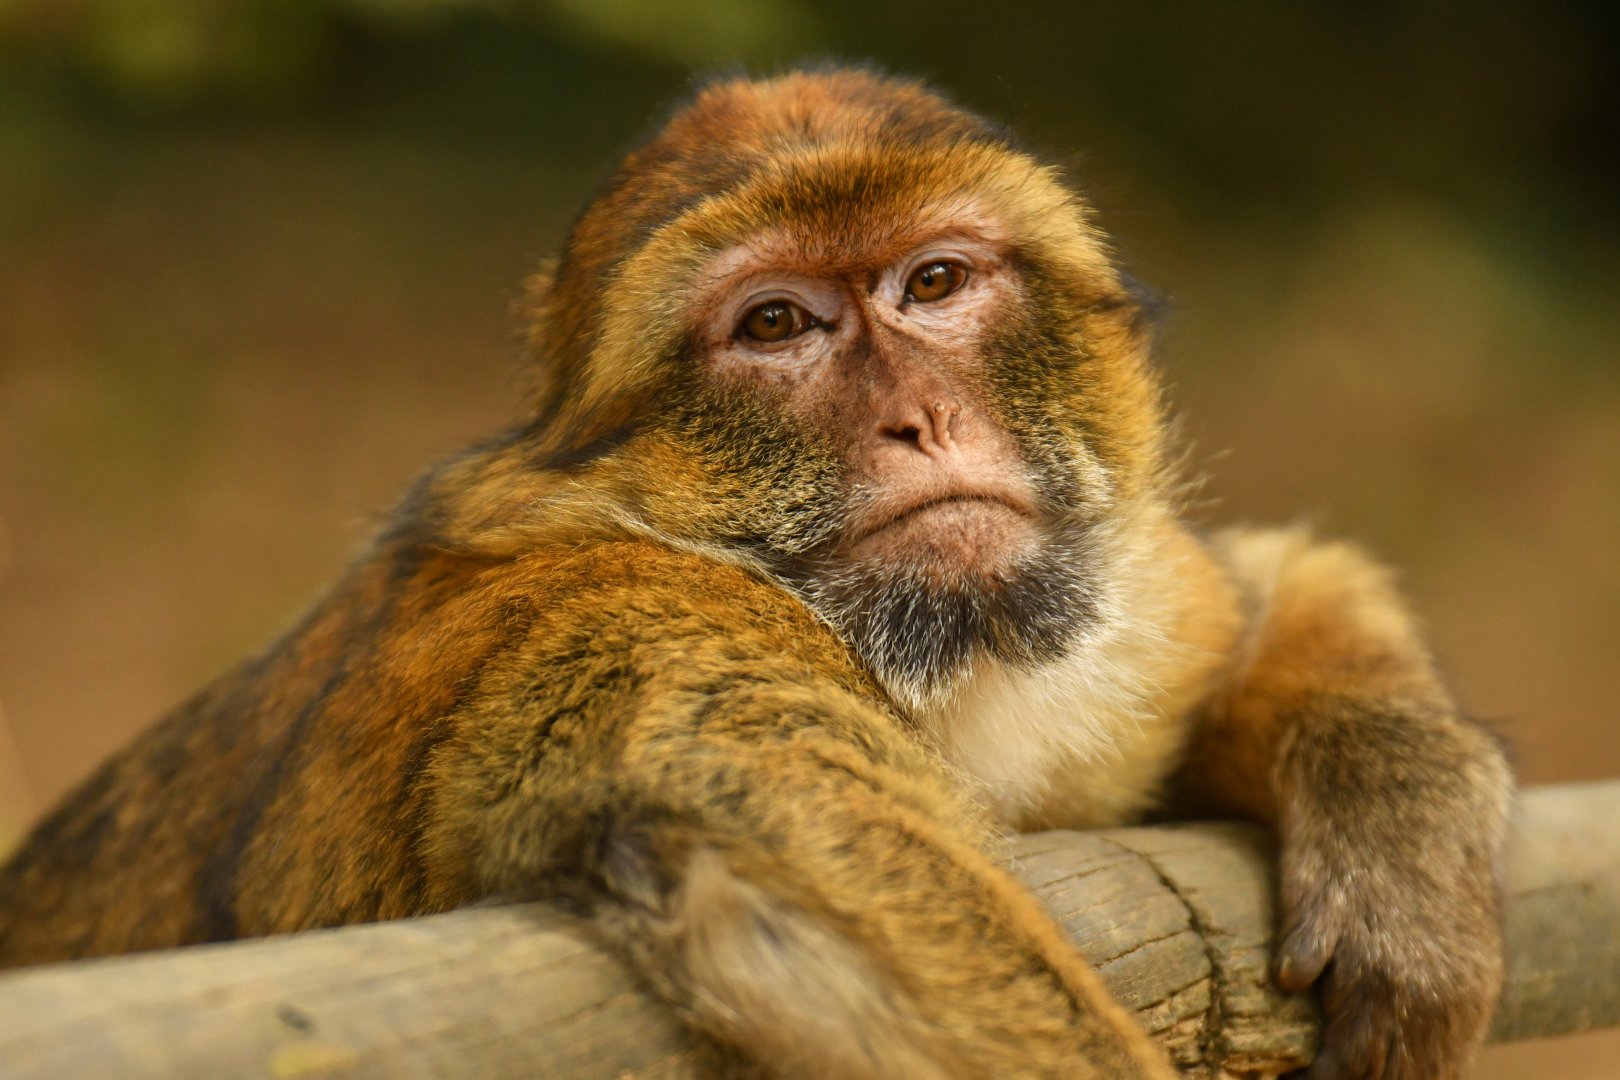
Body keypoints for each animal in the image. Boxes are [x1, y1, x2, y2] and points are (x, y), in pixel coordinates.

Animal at [0, 68, 1510, 1080]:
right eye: (776, 324)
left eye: (933, 284)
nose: (918, 419)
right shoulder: (630, 623)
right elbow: (784, 854)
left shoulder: (1135, 615)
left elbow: (1250, 589)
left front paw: (1403, 826)